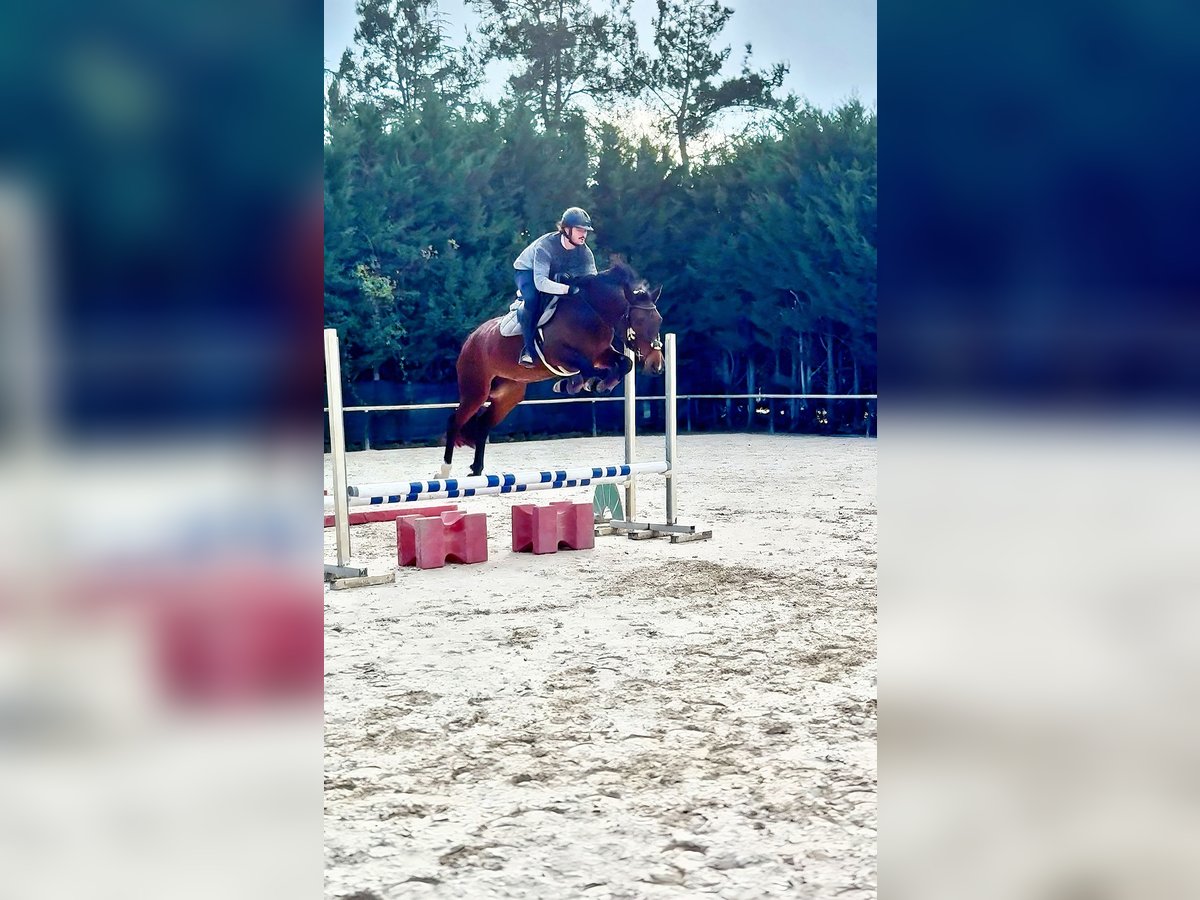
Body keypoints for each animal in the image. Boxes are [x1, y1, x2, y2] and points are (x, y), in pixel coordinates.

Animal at [442, 262, 665, 477]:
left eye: (659, 320)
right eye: (639, 321)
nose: (657, 364)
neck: (592, 312)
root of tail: (472, 338)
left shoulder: (601, 355)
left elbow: (624, 364)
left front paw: (595, 384)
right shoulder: (561, 355)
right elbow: (590, 370)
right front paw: (580, 384)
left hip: (509, 395)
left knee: (483, 424)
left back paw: (477, 469)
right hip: (476, 390)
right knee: (455, 420)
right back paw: (444, 471)